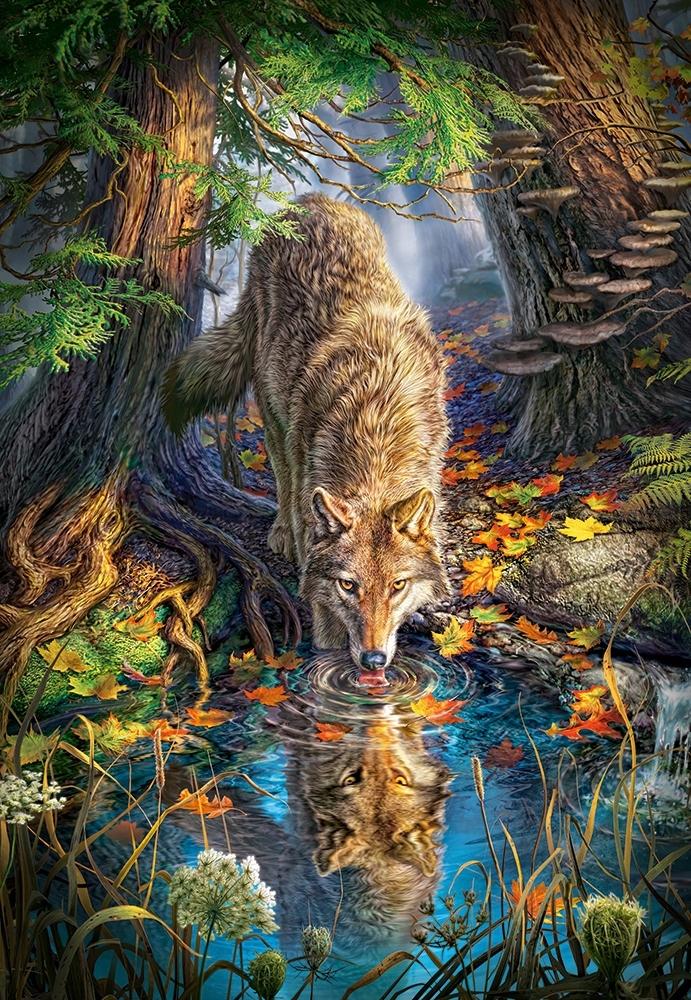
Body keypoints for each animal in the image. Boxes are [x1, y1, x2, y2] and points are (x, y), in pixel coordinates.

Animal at [163, 195, 449, 678]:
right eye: (349, 586)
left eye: (398, 585)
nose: (374, 659)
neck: (376, 424)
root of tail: (304, 202)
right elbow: (323, 617)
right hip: (274, 412)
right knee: (282, 479)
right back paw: (279, 530)